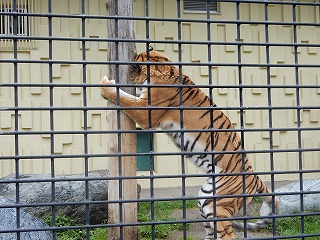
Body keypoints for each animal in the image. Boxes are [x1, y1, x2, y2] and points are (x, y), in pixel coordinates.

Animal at [99, 49, 278, 239]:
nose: (131, 79)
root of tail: (255, 177)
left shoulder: (145, 110)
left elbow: (125, 98)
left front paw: (105, 85)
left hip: (217, 205)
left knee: (228, 235)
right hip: (206, 198)